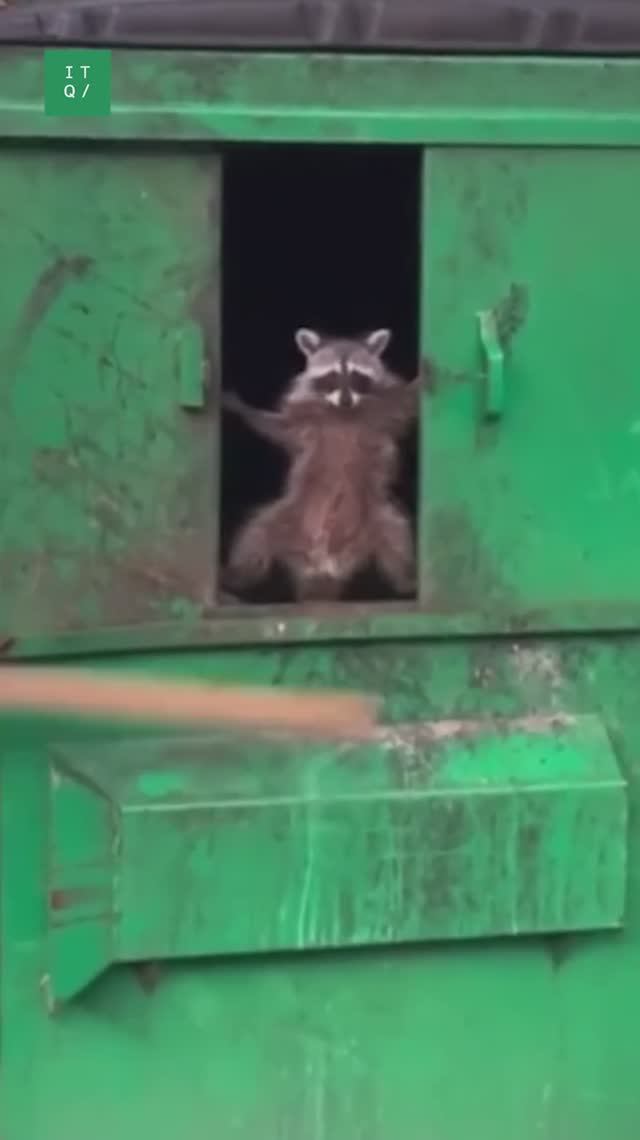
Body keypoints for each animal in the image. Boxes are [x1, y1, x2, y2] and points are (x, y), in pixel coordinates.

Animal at [222, 328, 422, 603]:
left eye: (357, 376)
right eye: (332, 376)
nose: (346, 400)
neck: (341, 412)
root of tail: (322, 565)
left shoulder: (384, 409)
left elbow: (407, 401)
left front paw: (424, 379)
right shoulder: (306, 419)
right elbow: (278, 428)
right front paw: (245, 410)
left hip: (373, 517)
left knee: (395, 534)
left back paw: (406, 581)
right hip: (289, 515)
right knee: (256, 533)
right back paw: (236, 577)